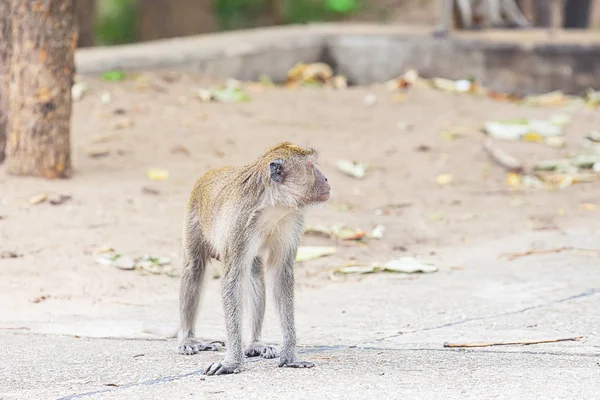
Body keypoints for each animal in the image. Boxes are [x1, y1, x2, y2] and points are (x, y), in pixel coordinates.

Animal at [178, 141, 330, 376]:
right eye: (311, 166)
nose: (326, 179)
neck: (272, 206)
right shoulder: (239, 222)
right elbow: (232, 280)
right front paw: (232, 362)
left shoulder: (292, 219)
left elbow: (280, 273)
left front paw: (289, 357)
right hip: (193, 218)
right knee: (194, 268)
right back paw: (189, 339)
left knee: (254, 272)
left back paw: (255, 343)